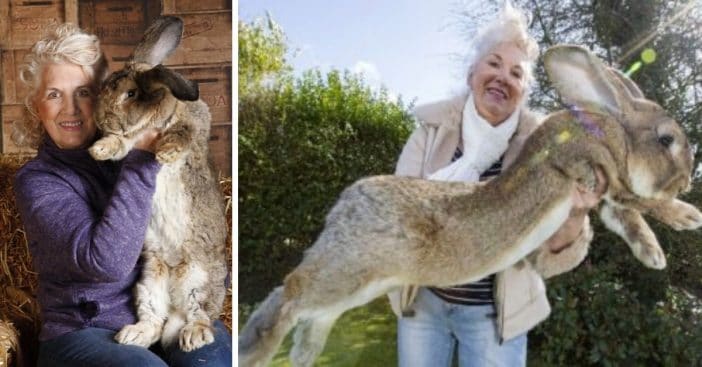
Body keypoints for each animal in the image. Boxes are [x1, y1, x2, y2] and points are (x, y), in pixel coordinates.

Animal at [238, 44, 702, 366]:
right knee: (291, 291)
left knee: (313, 311)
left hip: (358, 285)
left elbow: (627, 216)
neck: (612, 132)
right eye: (666, 140)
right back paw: (257, 349)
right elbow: (639, 200)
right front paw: (688, 216)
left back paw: (302, 352)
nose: (687, 179)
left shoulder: (603, 194)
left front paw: (653, 254)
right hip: (350, 270)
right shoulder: (594, 169)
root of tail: (342, 209)